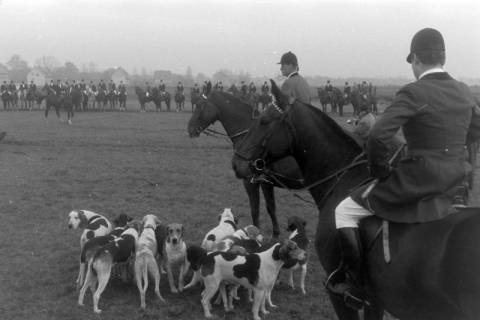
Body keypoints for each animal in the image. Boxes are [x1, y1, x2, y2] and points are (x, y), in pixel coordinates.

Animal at [188, 91, 304, 236]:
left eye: (200, 106)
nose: (190, 129)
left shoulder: (252, 182)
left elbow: (257, 210)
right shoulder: (266, 183)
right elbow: (270, 208)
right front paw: (275, 233)